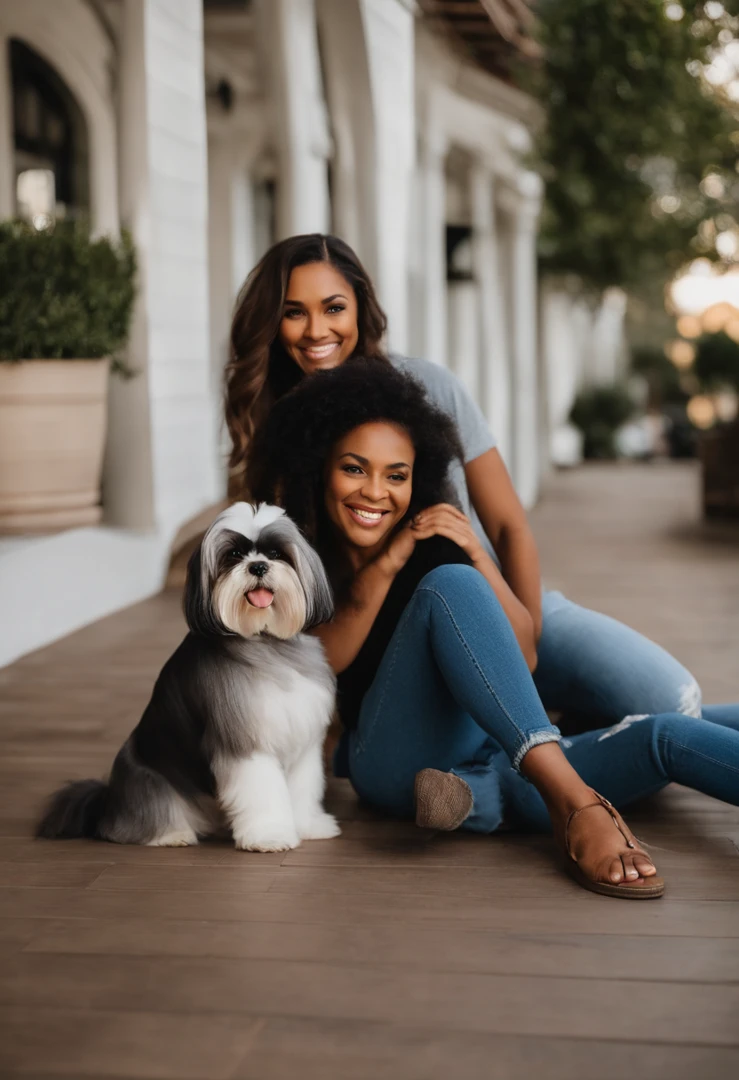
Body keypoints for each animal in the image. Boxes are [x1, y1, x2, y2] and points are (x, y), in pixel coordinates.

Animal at [38, 503, 341, 851]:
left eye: (276, 553)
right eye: (234, 554)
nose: (259, 567)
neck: (264, 641)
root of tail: (108, 802)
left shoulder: (302, 738)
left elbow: (302, 788)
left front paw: (308, 825)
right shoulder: (245, 742)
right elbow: (263, 792)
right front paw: (270, 835)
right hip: (148, 781)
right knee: (137, 821)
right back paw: (172, 834)